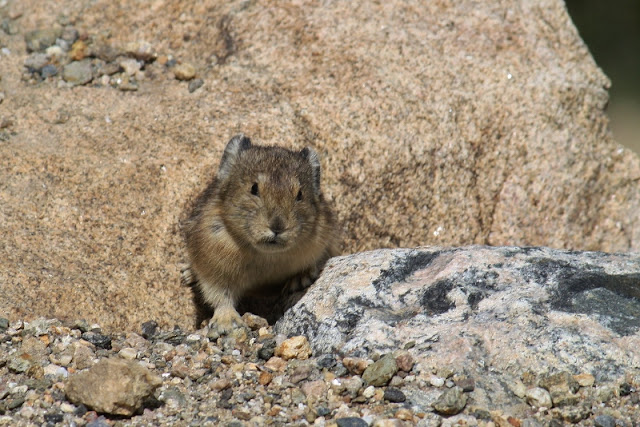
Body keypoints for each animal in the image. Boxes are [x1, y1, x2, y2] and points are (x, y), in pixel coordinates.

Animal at [182, 134, 339, 335]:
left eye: (300, 194)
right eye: (254, 188)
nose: (277, 227)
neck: (266, 257)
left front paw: (300, 280)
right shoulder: (213, 265)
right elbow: (219, 295)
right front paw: (227, 324)